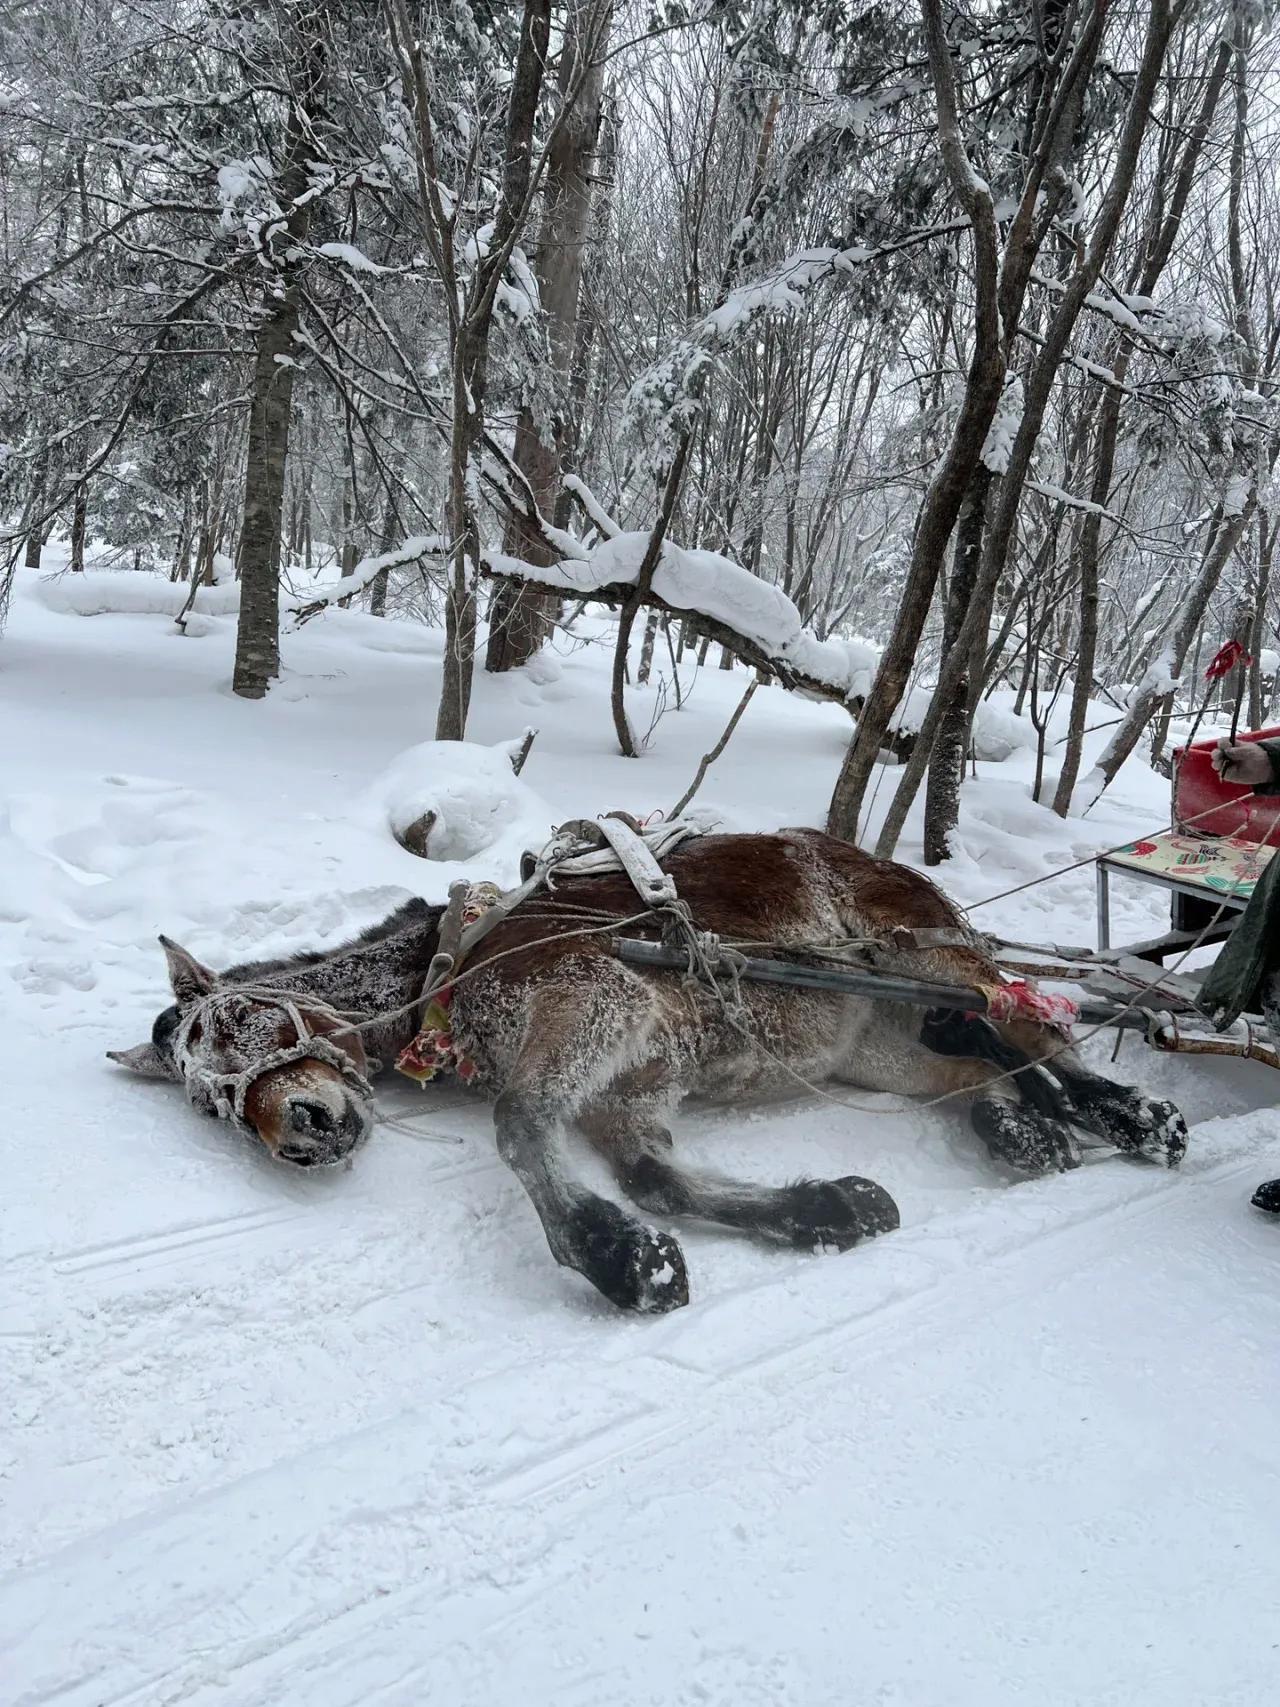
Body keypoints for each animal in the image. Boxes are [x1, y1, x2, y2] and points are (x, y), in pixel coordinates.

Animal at [109, 827, 1189, 1313]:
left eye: (244, 1018)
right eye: (212, 1106)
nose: (299, 1131)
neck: (444, 970)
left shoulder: (594, 1004)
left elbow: (517, 1128)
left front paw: (611, 1254)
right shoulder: (625, 1087)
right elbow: (655, 1175)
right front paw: (823, 1209)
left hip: (926, 957)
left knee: (1027, 1023)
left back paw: (1128, 1112)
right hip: (872, 1044)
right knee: (973, 1063)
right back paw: (1022, 1126)